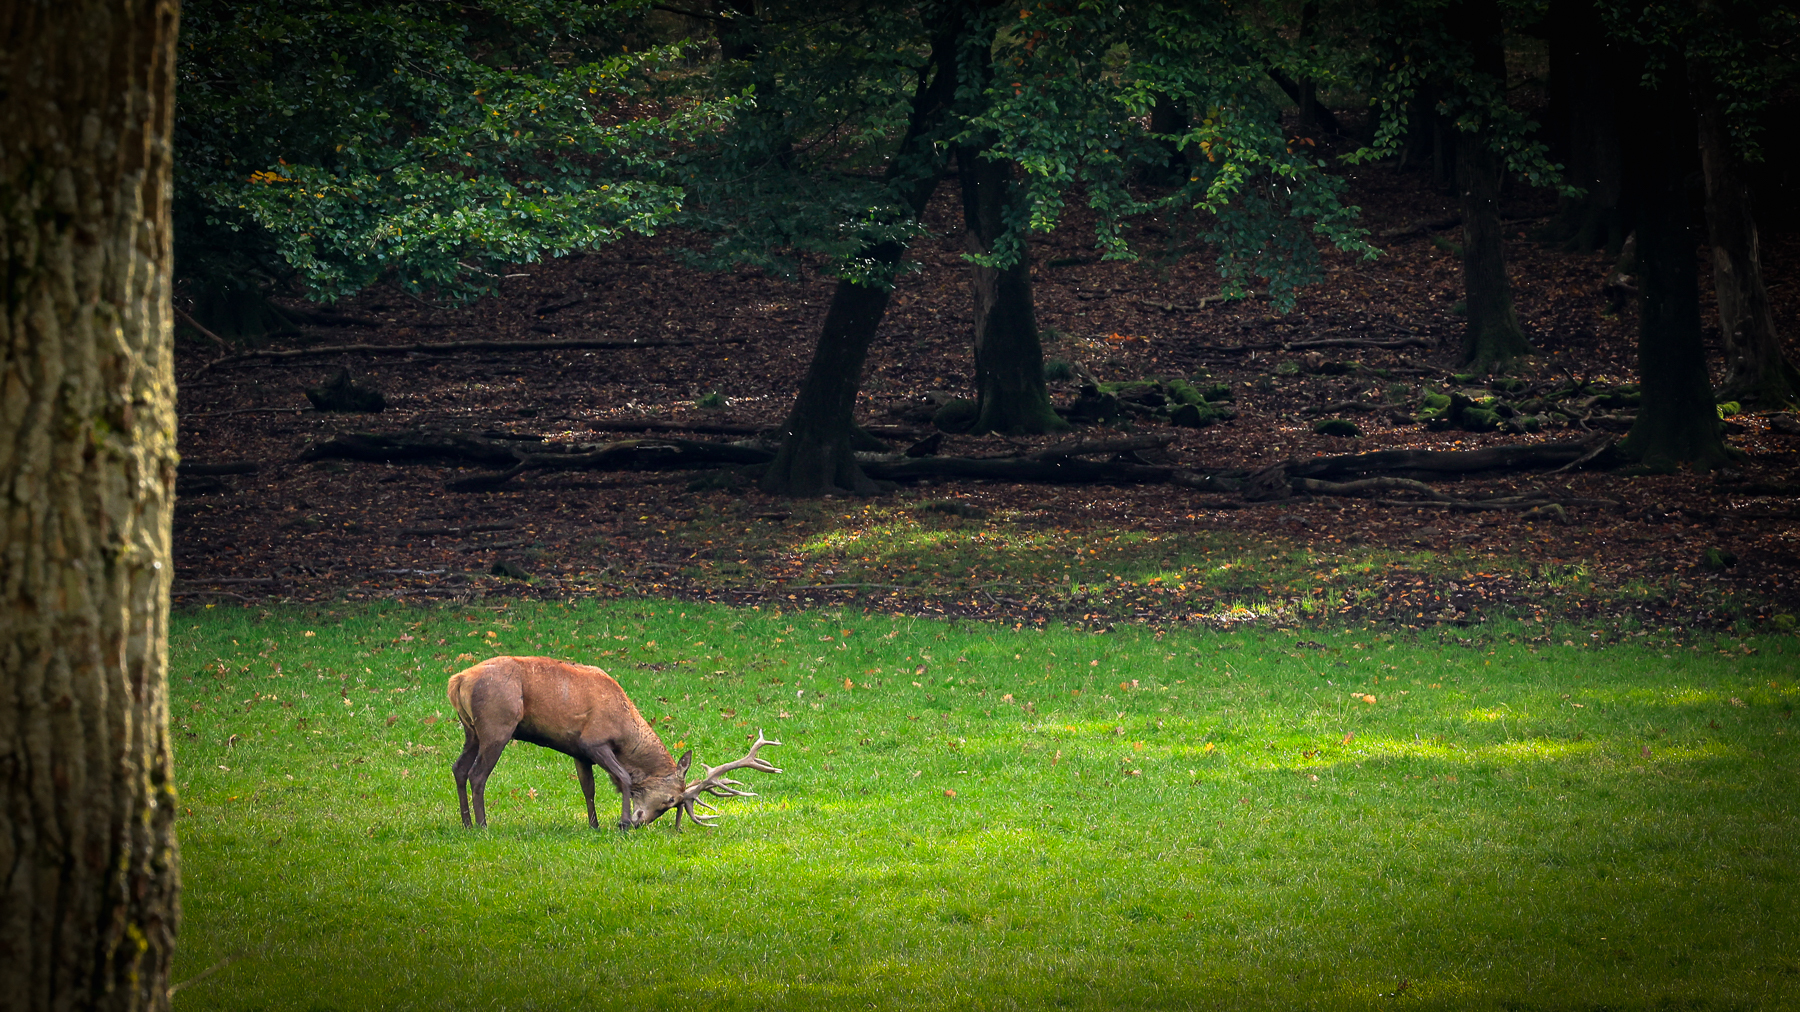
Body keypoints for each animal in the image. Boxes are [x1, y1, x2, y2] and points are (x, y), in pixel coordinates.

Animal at [444, 655, 781, 828]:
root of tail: (457, 680)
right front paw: (621, 823)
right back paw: (483, 825)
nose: (641, 822)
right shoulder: (594, 741)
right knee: (477, 774)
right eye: (671, 800)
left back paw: (465, 823)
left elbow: (588, 788)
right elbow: (622, 777)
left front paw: (594, 825)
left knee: (458, 768)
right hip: (497, 724)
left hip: (471, 730)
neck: (624, 732)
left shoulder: (577, 750)